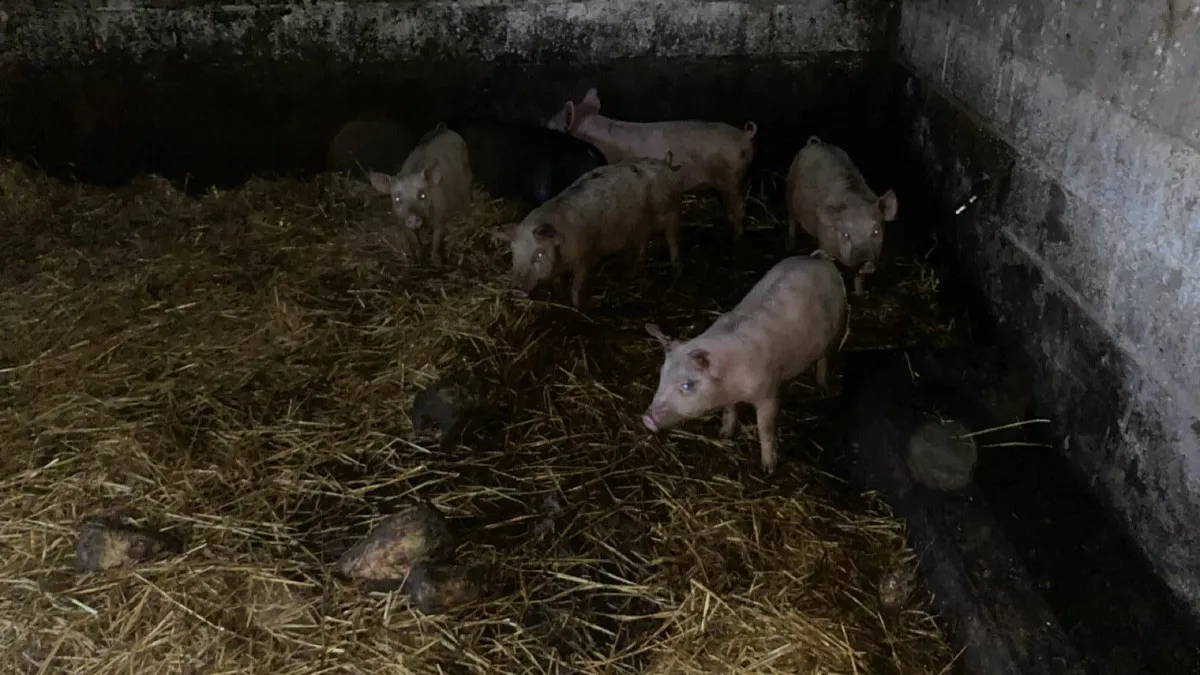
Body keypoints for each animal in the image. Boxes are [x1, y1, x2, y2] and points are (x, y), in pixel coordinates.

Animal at [369, 124, 473, 266]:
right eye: (397, 198)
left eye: (422, 195)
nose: (413, 217)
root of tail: (444, 128)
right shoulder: (402, 221)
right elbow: (414, 240)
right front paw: (418, 258)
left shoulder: (441, 215)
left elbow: (436, 239)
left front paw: (437, 262)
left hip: (467, 169)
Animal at [489, 157, 684, 308]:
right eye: (514, 253)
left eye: (539, 254)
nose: (516, 289)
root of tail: (665, 165)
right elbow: (557, 283)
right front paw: (560, 297)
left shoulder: (586, 258)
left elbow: (577, 286)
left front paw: (577, 306)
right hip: (642, 227)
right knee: (643, 244)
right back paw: (631, 273)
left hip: (672, 212)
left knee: (673, 240)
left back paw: (675, 268)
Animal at [546, 87, 757, 241]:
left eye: (554, 125)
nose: (544, 124)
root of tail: (745, 135)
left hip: (732, 177)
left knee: (740, 208)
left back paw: (737, 238)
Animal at [642, 255, 849, 475]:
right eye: (661, 375)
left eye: (687, 385)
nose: (647, 419)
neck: (731, 382)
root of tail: (819, 259)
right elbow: (729, 410)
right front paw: (724, 434)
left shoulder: (768, 391)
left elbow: (765, 428)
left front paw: (768, 469)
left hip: (838, 327)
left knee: (825, 358)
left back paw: (824, 387)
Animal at [785, 136, 899, 295]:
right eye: (845, 235)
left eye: (876, 231)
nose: (865, 262)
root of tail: (816, 144)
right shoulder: (825, 242)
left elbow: (859, 278)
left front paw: (860, 293)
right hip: (789, 188)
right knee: (791, 219)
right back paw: (790, 246)